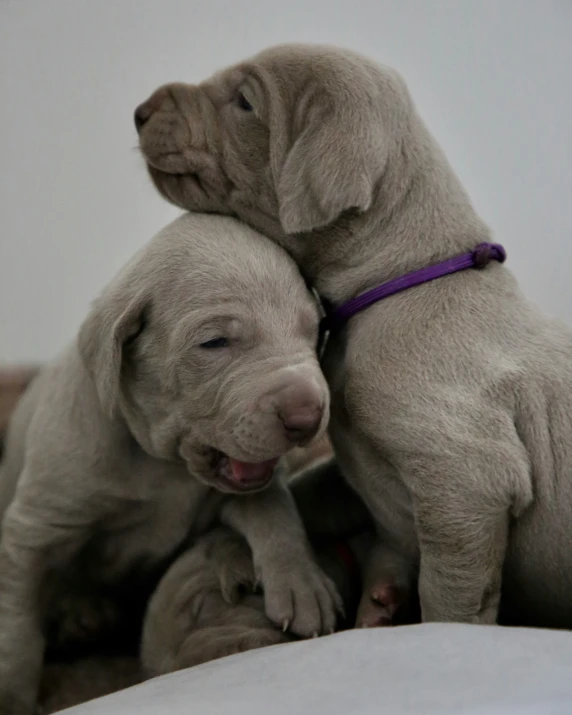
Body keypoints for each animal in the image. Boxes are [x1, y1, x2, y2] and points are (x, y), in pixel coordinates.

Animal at [0, 213, 340, 715]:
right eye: (214, 342)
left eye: (315, 332)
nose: (307, 416)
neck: (164, 467)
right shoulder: (36, 529)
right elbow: (17, 623)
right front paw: (12, 694)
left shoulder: (239, 489)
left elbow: (275, 509)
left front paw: (302, 583)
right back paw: (82, 614)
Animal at [136, 42, 572, 628]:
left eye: (245, 101)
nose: (140, 111)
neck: (407, 274)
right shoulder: (354, 478)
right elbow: (300, 495)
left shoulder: (469, 478)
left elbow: (450, 600)